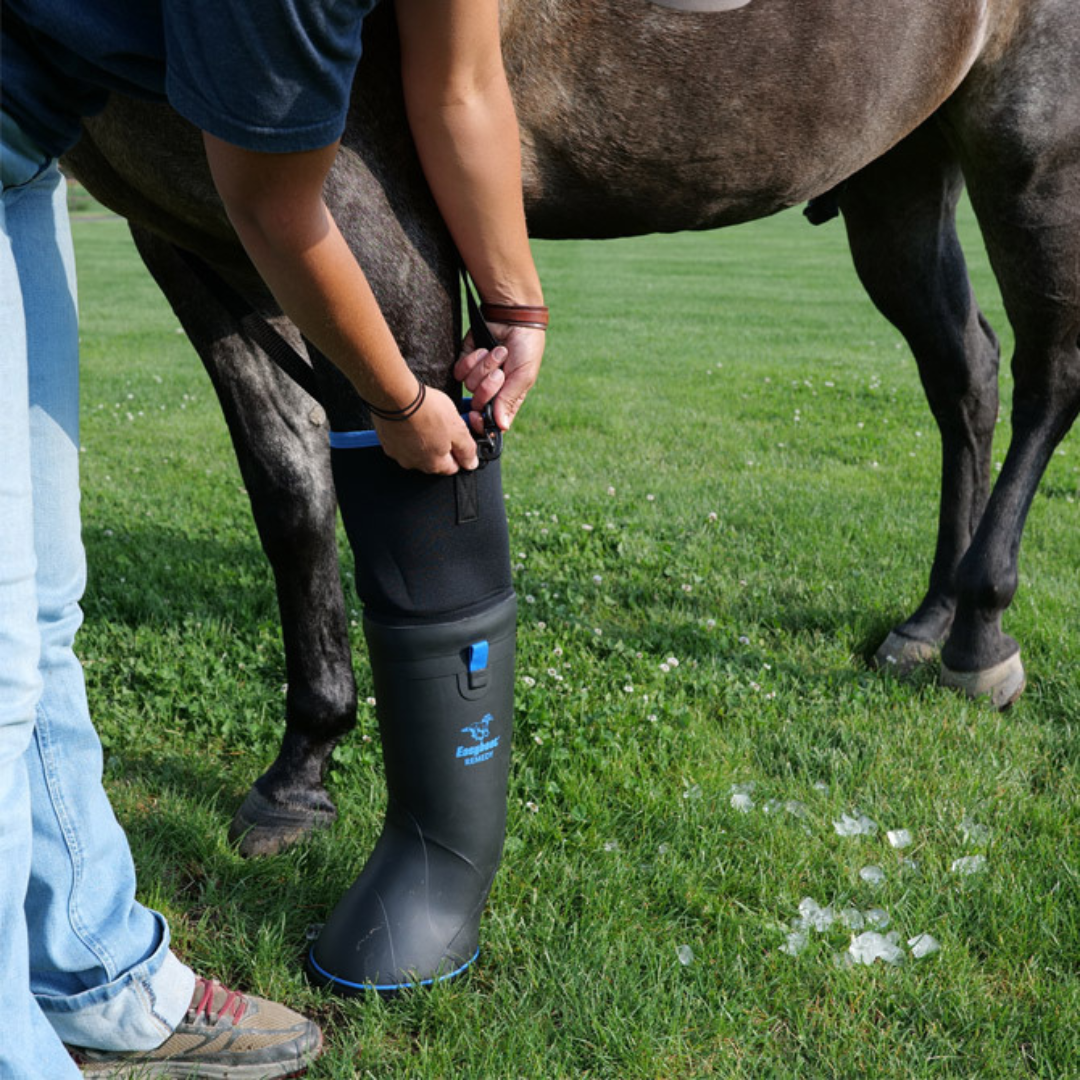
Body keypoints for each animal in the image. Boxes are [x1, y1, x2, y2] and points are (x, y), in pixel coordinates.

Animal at [65, 0, 1080, 855]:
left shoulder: (363, 203)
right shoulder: (196, 231)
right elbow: (291, 493)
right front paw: (300, 770)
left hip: (1032, 142)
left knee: (1047, 377)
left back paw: (980, 631)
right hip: (899, 167)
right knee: (965, 373)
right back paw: (930, 617)